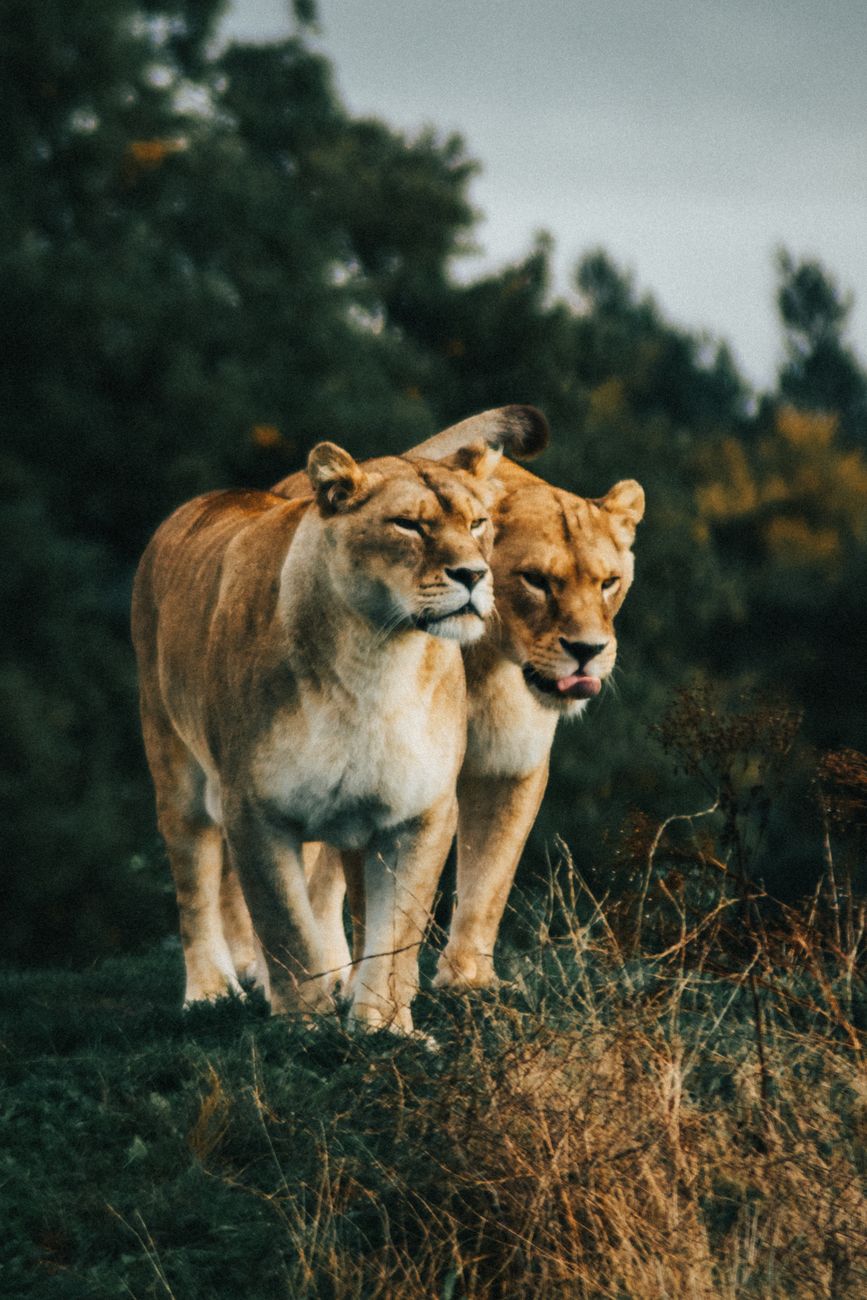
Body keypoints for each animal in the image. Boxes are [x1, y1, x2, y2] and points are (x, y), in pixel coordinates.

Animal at [131, 439, 503, 1032]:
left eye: (478, 522)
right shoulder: (254, 808)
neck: (376, 658)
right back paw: (209, 992)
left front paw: (383, 1027)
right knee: (195, 884)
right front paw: (304, 1028)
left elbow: (394, 934)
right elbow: (285, 926)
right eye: (408, 525)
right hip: (174, 764)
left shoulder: (421, 813)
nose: (474, 574)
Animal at [265, 408, 644, 993]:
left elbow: (490, 876)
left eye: (609, 582)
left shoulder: (511, 766)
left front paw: (468, 980)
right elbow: (375, 900)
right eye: (536, 580)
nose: (588, 652)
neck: (486, 663)